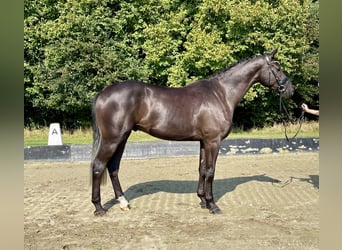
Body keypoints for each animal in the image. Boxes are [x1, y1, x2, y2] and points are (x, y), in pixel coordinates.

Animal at [89, 48, 292, 215]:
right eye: (278, 67)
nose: (290, 91)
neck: (221, 93)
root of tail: (103, 93)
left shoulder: (203, 142)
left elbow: (201, 169)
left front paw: (202, 201)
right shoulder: (213, 141)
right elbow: (210, 171)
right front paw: (213, 205)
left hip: (122, 137)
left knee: (113, 167)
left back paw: (123, 202)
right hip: (112, 139)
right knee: (98, 166)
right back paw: (99, 208)